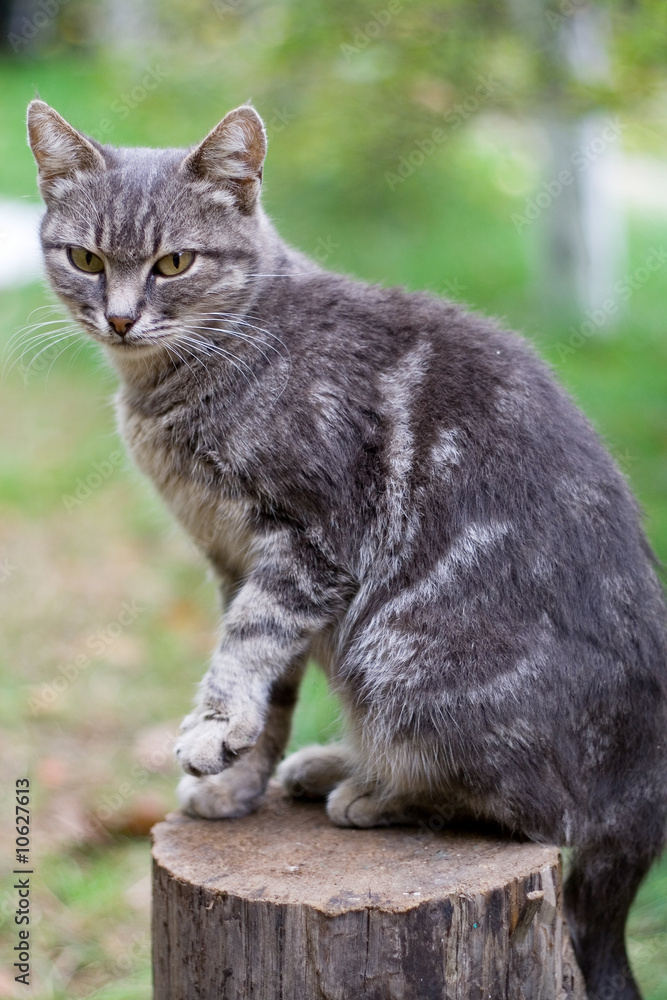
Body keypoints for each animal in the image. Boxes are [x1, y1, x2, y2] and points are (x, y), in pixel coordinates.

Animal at [27, 95, 667, 1000]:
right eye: (84, 257)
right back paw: (334, 768)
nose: (118, 317)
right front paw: (238, 781)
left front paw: (213, 735)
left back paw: (372, 791)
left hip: (398, 656)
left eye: (174, 262)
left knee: (524, 809)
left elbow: (243, 652)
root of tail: (644, 807)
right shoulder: (236, 561)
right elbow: (269, 691)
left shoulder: (310, 543)